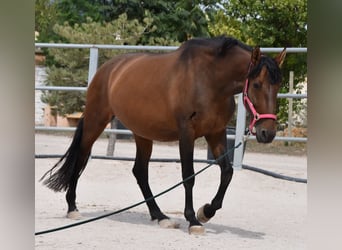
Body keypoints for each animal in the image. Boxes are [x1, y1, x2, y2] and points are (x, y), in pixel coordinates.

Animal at [40, 35, 286, 234]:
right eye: (256, 84)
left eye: (278, 86)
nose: (267, 132)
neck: (208, 80)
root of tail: (108, 69)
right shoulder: (187, 134)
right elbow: (189, 176)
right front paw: (193, 220)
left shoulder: (216, 133)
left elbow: (227, 173)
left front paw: (206, 211)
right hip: (96, 121)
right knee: (81, 157)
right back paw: (72, 208)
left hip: (142, 133)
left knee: (140, 172)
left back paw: (160, 216)